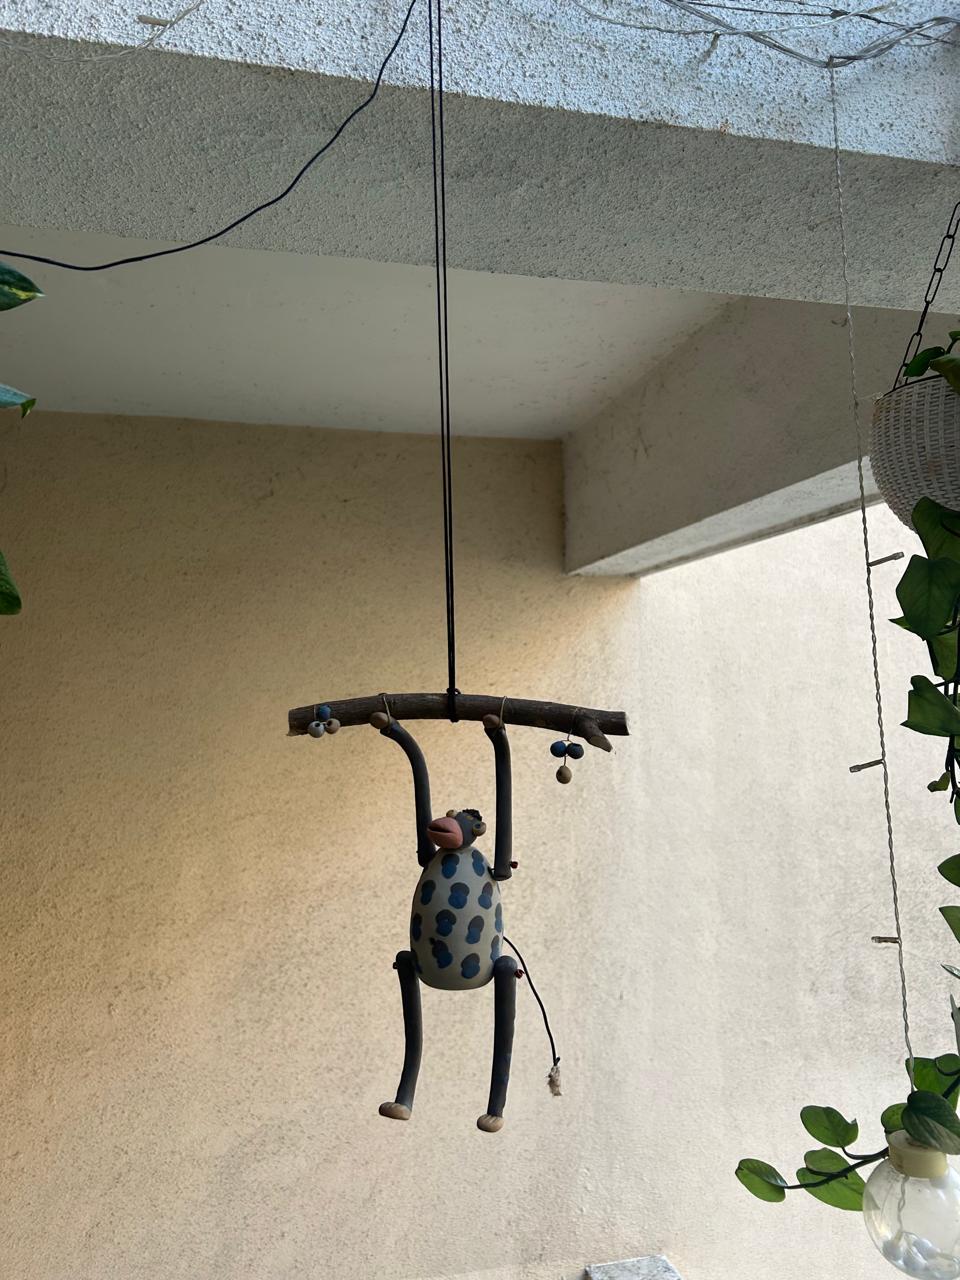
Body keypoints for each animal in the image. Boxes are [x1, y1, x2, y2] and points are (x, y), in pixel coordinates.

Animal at [371, 709, 518, 1133]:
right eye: (449, 816)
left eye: (473, 825)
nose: (444, 825)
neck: (458, 851)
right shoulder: (429, 849)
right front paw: (392, 728)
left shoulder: (497, 865)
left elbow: (503, 860)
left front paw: (496, 730)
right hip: (411, 965)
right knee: (408, 985)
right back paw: (400, 1104)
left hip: (496, 970)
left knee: (507, 979)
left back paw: (492, 1116)